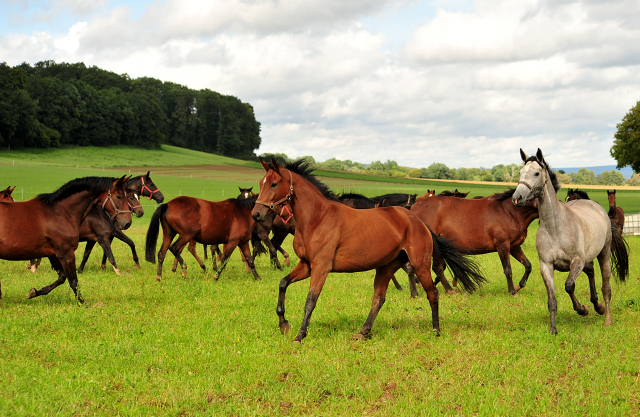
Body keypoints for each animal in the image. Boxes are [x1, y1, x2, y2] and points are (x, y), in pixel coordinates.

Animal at [0, 176, 131, 302]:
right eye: (119, 196)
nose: (127, 223)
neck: (61, 213)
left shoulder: (53, 254)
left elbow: (62, 277)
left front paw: (35, 292)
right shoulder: (66, 253)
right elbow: (73, 281)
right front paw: (83, 303)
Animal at [250, 158, 484, 342]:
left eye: (273, 183)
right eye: (261, 183)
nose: (256, 214)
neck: (317, 218)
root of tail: (418, 221)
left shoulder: (321, 267)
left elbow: (310, 301)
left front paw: (300, 335)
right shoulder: (307, 265)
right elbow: (283, 284)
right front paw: (283, 323)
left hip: (420, 264)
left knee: (432, 293)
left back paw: (435, 329)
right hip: (386, 267)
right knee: (379, 299)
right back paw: (363, 332)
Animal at [408, 185, 536, 296]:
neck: (510, 212)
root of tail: (413, 209)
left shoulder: (514, 247)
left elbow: (528, 265)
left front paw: (518, 286)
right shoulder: (502, 246)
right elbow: (508, 270)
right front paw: (512, 292)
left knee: (436, 268)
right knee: (431, 268)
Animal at [512, 148, 628, 334]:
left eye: (536, 173)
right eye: (521, 172)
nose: (517, 197)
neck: (555, 228)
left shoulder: (577, 261)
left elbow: (569, 286)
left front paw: (582, 309)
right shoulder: (546, 265)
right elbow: (552, 300)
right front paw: (553, 329)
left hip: (604, 254)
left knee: (606, 287)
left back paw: (607, 318)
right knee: (591, 272)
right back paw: (598, 307)